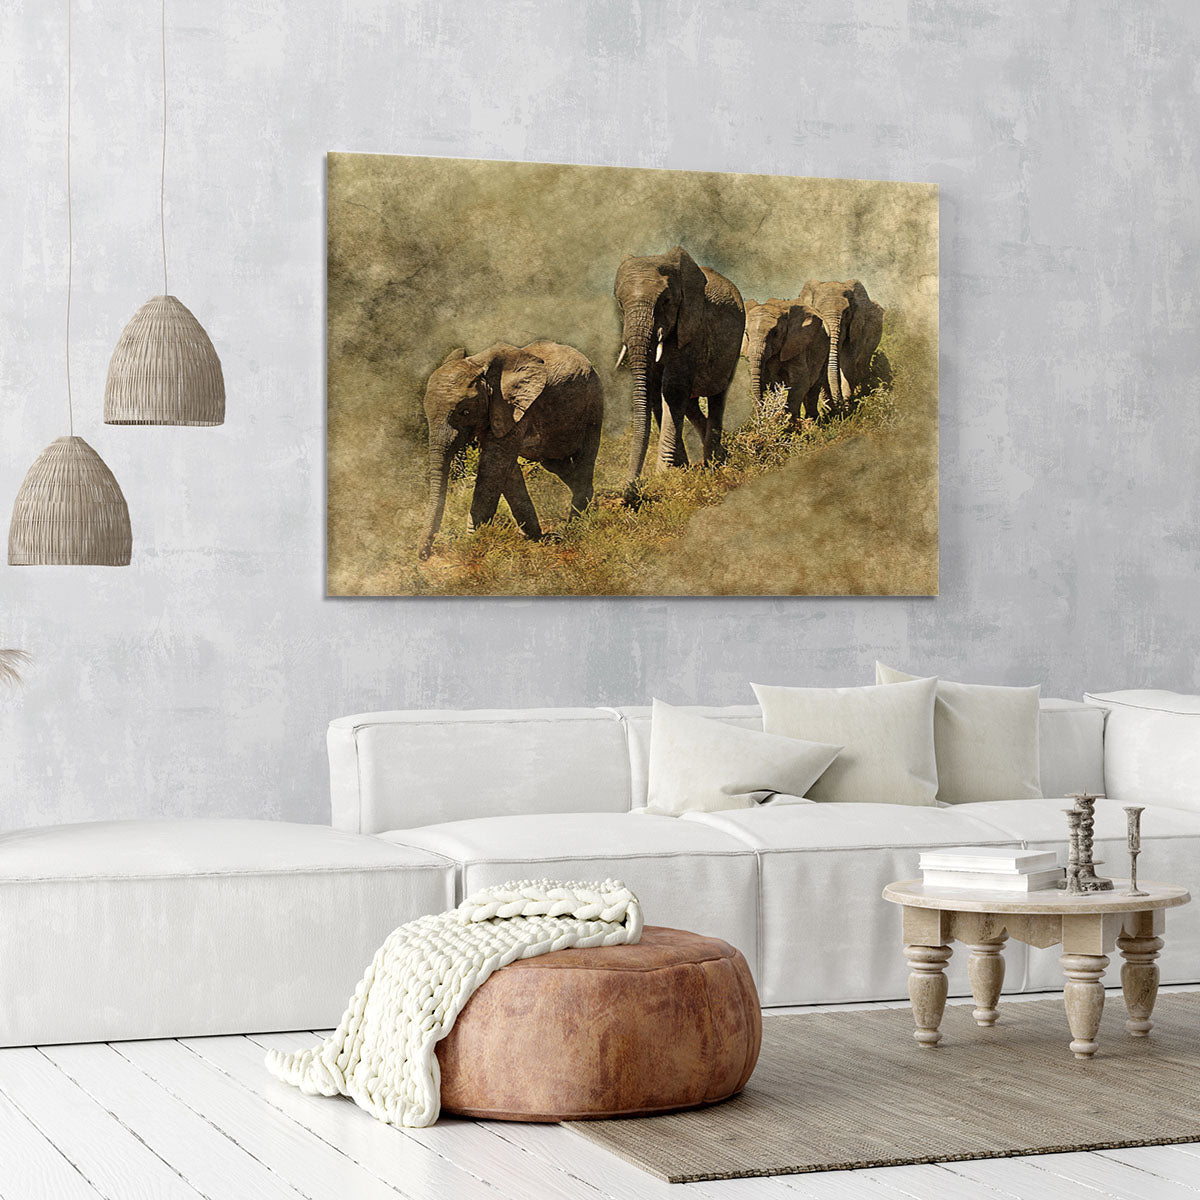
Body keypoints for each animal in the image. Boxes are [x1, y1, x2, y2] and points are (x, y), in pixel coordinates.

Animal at [418, 341, 603, 560]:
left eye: (465, 412)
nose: (423, 554)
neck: (481, 368)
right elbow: (506, 471)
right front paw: (535, 538)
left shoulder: (515, 408)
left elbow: (494, 467)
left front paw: (474, 544)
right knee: (556, 464)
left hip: (593, 402)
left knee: (586, 456)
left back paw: (575, 527)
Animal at [613, 245, 745, 491]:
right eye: (620, 303)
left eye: (666, 301)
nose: (630, 489)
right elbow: (654, 392)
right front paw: (679, 469)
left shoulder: (691, 327)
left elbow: (672, 389)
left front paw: (665, 472)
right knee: (691, 403)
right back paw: (719, 455)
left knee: (717, 396)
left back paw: (714, 463)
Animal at [797, 280, 885, 408]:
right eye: (817, 312)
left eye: (847, 313)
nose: (840, 402)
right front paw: (832, 408)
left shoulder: (856, 327)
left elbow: (847, 363)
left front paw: (847, 407)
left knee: (862, 365)